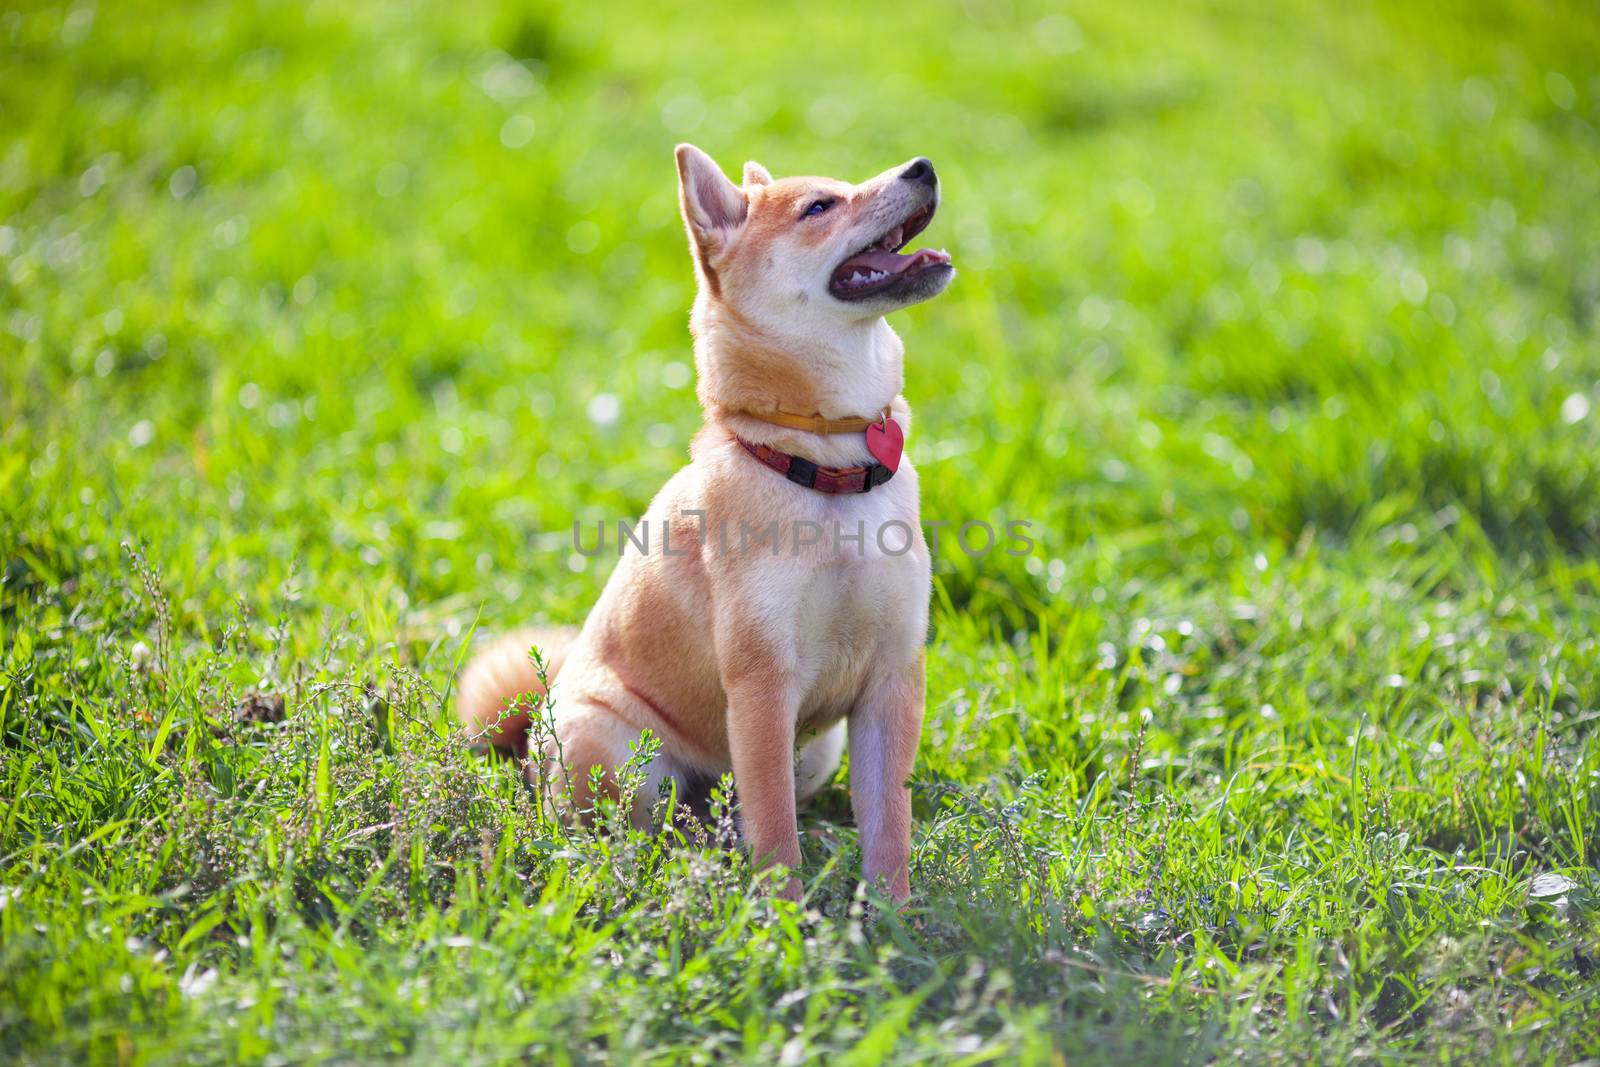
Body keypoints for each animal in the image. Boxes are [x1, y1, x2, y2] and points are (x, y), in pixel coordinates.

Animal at [454, 143, 947, 902]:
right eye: (820, 207)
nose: (922, 165)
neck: (827, 472)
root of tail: (534, 741)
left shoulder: (893, 676)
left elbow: (888, 822)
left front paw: (892, 912)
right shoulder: (762, 682)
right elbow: (775, 834)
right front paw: (785, 918)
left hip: (817, 751)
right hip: (614, 745)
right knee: (632, 830)